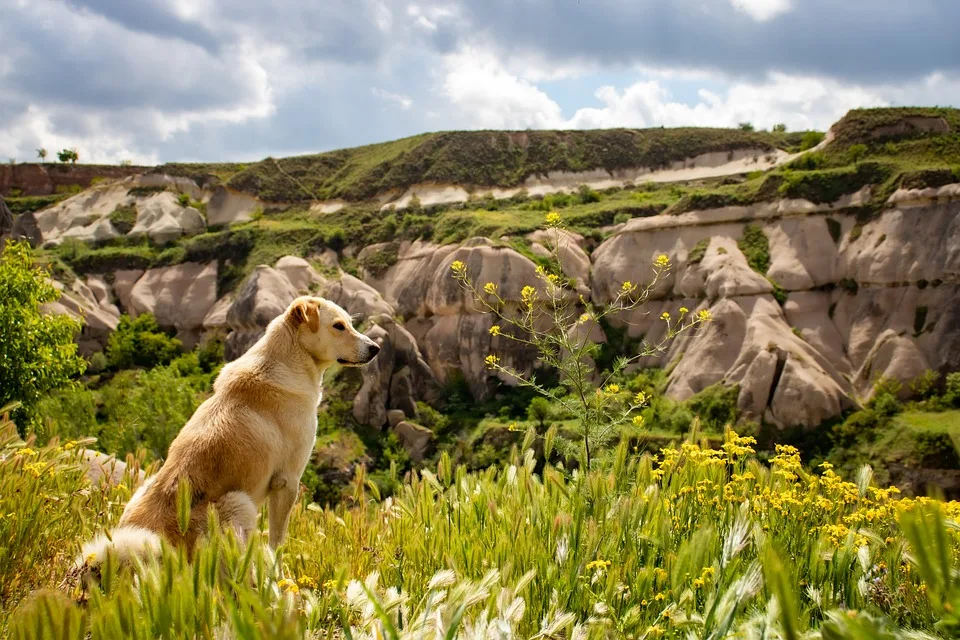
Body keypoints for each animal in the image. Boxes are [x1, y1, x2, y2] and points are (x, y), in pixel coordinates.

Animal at [74, 298, 378, 572]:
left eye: (350, 323)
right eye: (338, 326)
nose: (376, 348)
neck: (288, 360)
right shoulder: (287, 481)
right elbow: (277, 542)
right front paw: (280, 575)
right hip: (238, 503)